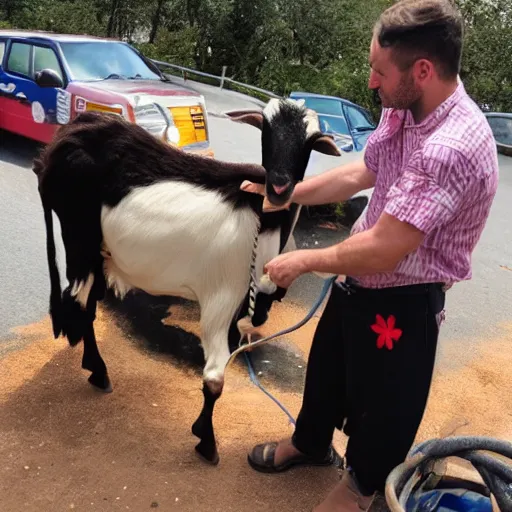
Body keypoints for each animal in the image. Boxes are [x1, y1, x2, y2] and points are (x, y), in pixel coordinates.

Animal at [34, 98, 342, 466]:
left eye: (309, 143)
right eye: (265, 131)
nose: (279, 188)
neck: (261, 214)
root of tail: (64, 140)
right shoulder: (221, 294)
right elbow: (214, 379)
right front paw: (206, 441)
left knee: (87, 304)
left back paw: (94, 367)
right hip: (80, 238)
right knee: (80, 301)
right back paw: (98, 370)